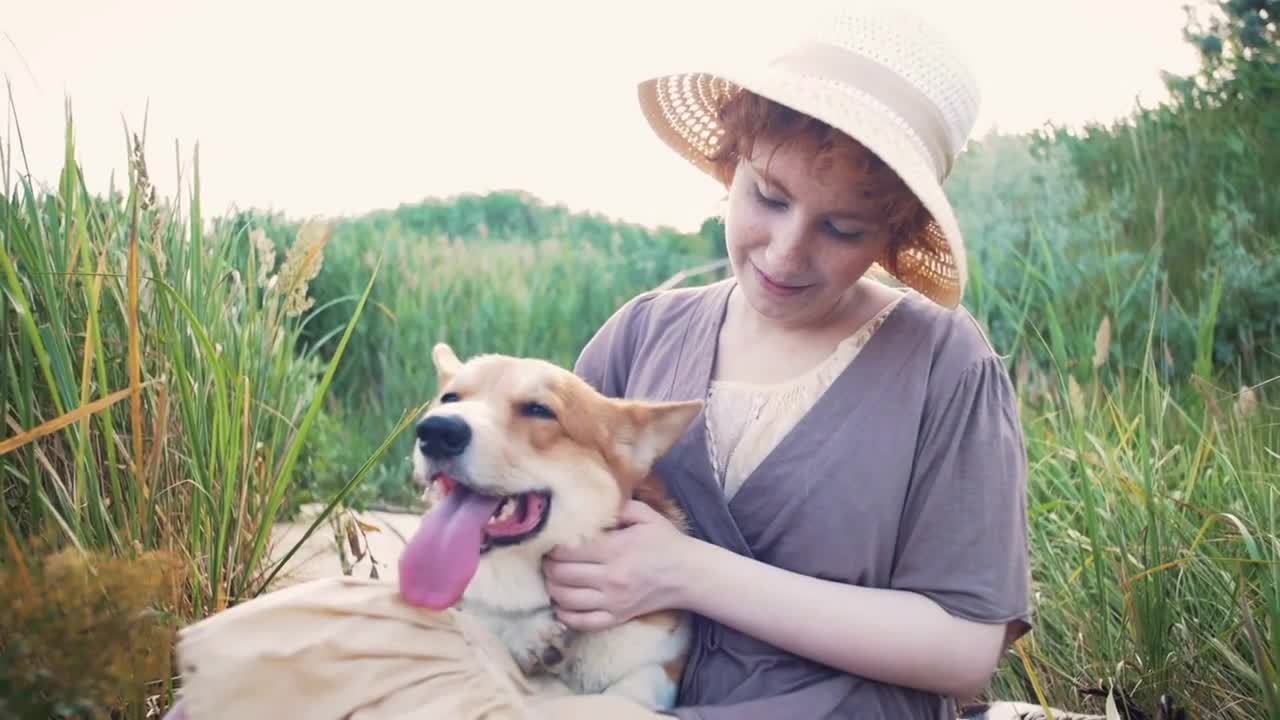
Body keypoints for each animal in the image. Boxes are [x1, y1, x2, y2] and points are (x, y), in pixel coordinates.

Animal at [396, 343, 701, 712]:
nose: (437, 431)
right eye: (450, 398)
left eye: (539, 410)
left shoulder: (661, 665)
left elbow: (627, 692)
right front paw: (529, 633)